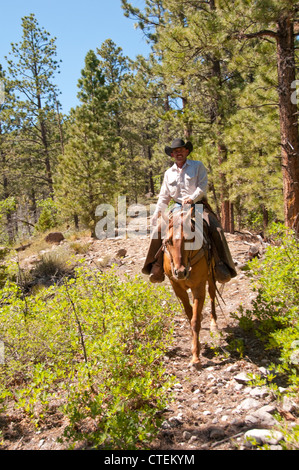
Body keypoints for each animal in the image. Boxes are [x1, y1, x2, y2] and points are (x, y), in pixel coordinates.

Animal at [163, 207, 217, 370]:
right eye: (168, 241)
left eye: (189, 239)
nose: (180, 272)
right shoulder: (177, 287)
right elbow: (189, 313)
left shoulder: (199, 287)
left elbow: (195, 321)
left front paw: (195, 358)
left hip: (211, 276)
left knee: (213, 295)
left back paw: (214, 323)